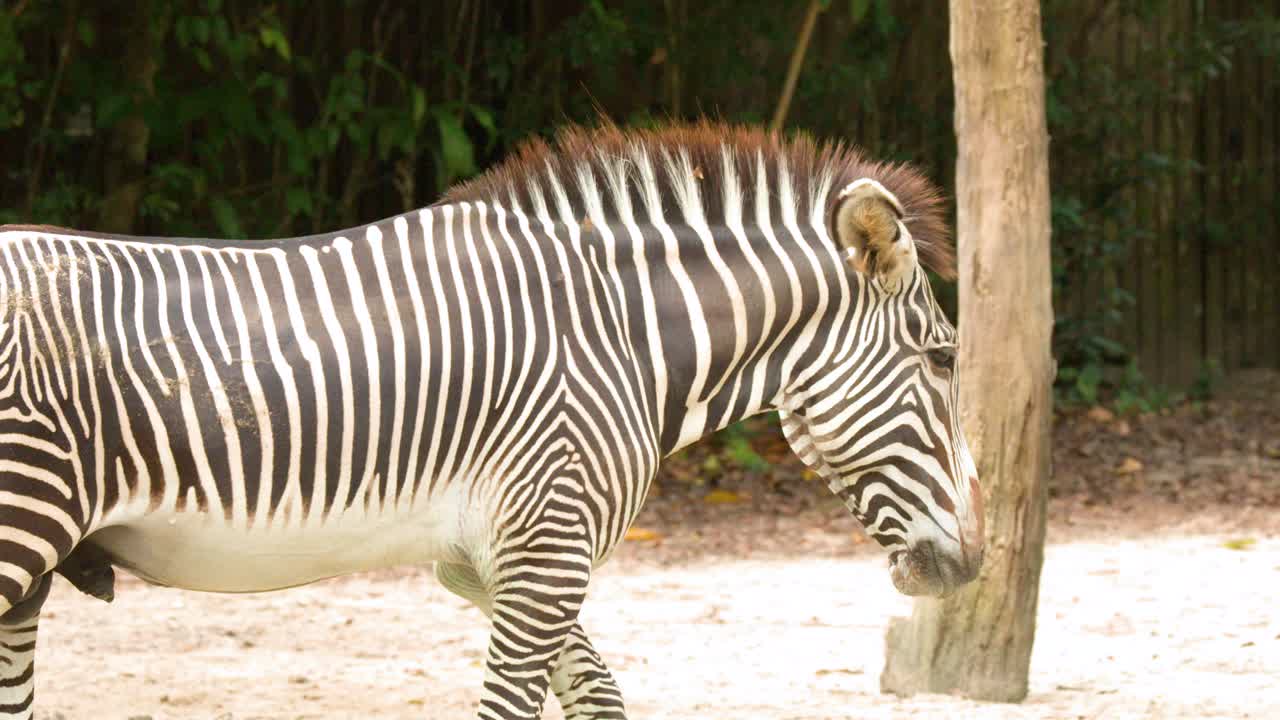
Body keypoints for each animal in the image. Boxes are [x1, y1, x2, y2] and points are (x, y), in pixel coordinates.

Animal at [0, 121, 982, 719]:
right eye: (943, 360)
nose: (974, 562)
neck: (620, 336)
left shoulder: (483, 562)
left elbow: (599, 696)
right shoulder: (548, 550)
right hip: (21, 523)